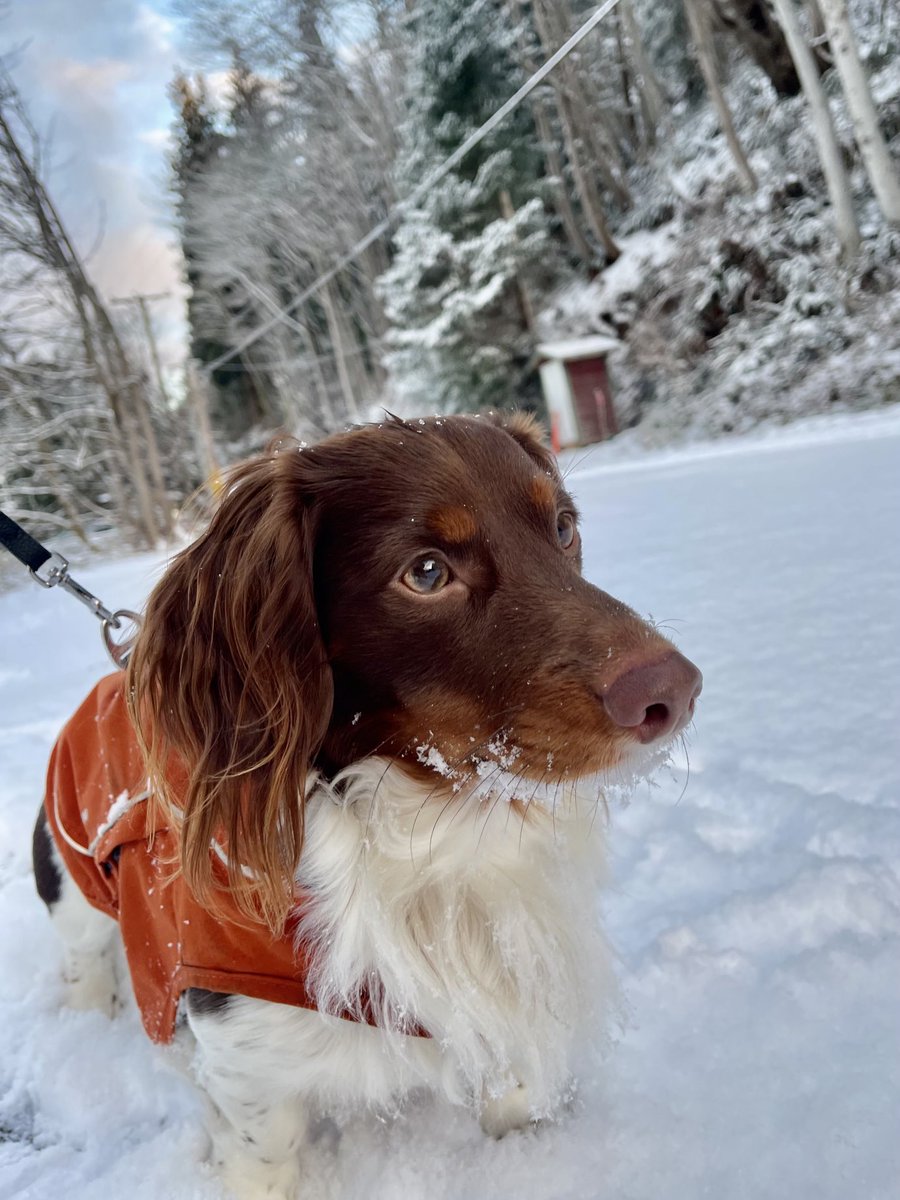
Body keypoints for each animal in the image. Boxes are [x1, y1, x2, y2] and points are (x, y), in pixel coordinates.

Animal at [31, 415, 700, 1200]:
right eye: (427, 572)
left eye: (563, 527)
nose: (674, 692)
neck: (421, 827)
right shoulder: (239, 1045)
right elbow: (262, 1151)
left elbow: (514, 1080)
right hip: (71, 878)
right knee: (84, 955)